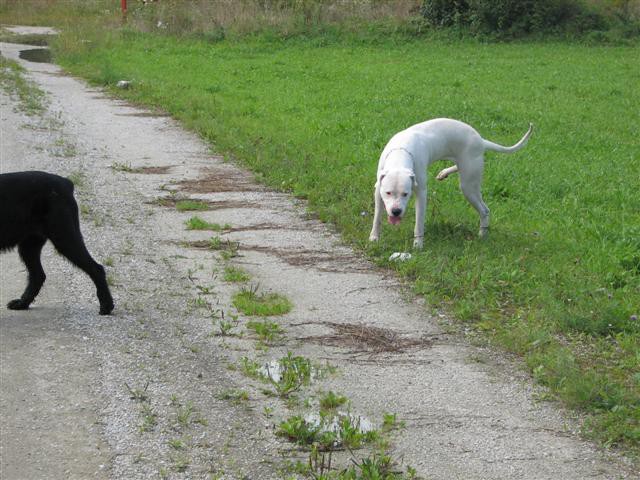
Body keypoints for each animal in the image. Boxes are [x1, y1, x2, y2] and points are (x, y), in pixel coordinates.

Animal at [0, 172, 114, 316]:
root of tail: (66, 183)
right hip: (30, 246)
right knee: (38, 275)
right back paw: (22, 303)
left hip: (65, 237)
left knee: (96, 268)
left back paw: (106, 306)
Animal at [368, 118, 532, 249]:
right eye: (388, 193)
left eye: (405, 194)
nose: (396, 211)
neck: (400, 155)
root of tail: (481, 141)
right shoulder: (378, 190)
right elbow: (377, 217)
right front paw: (374, 237)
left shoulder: (421, 192)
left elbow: (419, 222)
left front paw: (418, 244)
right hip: (463, 165)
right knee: (458, 167)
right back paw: (444, 172)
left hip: (468, 185)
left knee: (484, 210)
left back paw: (482, 234)